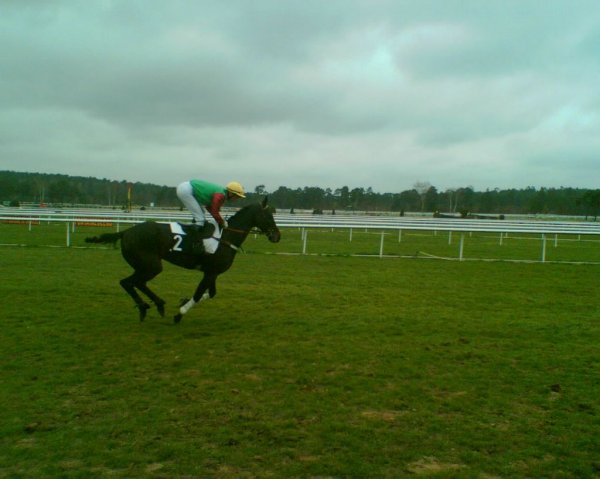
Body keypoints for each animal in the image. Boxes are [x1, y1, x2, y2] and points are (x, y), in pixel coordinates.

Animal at [85, 197, 282, 324]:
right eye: (268, 216)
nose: (277, 236)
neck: (226, 237)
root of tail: (126, 232)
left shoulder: (212, 272)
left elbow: (210, 293)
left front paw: (182, 302)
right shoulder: (210, 272)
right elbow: (199, 293)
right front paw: (179, 314)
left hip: (144, 265)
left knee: (136, 283)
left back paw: (157, 305)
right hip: (151, 265)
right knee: (128, 282)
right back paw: (145, 307)